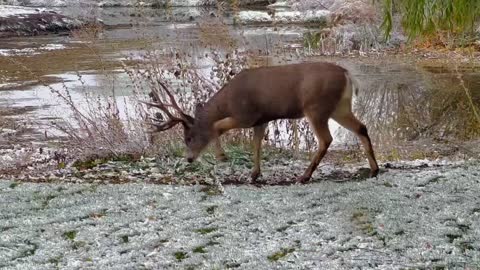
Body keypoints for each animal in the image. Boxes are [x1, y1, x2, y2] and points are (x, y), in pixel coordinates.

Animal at [146, 61, 378, 184]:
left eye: (189, 137)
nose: (189, 159)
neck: (228, 102)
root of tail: (347, 74)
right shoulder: (261, 120)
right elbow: (256, 144)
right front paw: (254, 174)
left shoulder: (246, 115)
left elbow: (216, 127)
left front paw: (222, 156)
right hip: (340, 107)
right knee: (361, 127)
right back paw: (374, 169)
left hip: (316, 107)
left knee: (326, 139)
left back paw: (304, 176)